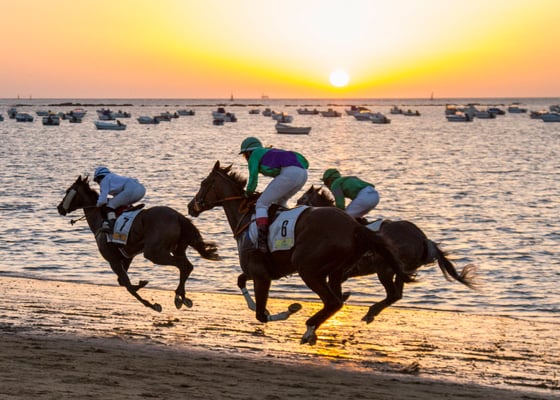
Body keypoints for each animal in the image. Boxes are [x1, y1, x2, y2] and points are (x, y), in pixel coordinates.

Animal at [57, 175, 220, 312]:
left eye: (67, 191)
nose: (59, 208)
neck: (100, 218)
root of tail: (178, 216)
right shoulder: (126, 257)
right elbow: (122, 282)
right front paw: (142, 283)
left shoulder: (113, 260)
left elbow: (127, 285)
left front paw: (151, 304)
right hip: (177, 248)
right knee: (187, 266)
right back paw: (183, 297)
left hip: (154, 252)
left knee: (183, 265)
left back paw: (179, 297)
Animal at [187, 161, 413, 345]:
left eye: (204, 183)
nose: (191, 206)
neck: (246, 217)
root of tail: (354, 226)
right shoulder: (257, 271)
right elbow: (241, 282)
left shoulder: (261, 275)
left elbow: (261, 314)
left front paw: (289, 310)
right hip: (336, 272)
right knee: (337, 302)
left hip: (308, 268)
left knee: (333, 301)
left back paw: (309, 328)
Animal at [296, 185, 478, 322]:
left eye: (303, 198)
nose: (297, 204)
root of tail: (424, 240)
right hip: (401, 270)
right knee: (397, 294)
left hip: (385, 270)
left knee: (393, 294)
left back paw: (371, 312)